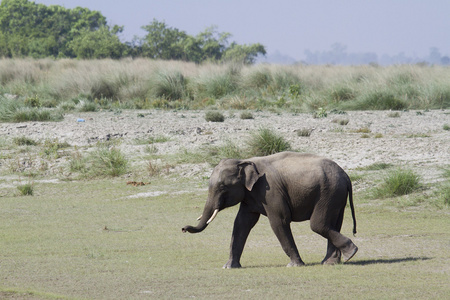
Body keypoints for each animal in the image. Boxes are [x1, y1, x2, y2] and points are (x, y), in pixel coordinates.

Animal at [181, 151, 356, 268]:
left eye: (223, 187)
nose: (183, 228)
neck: (244, 161)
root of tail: (346, 175)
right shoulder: (250, 195)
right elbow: (241, 224)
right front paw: (229, 267)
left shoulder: (270, 191)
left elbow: (279, 221)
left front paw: (295, 265)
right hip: (336, 195)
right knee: (333, 224)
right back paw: (333, 261)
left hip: (328, 192)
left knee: (318, 225)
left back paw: (351, 252)